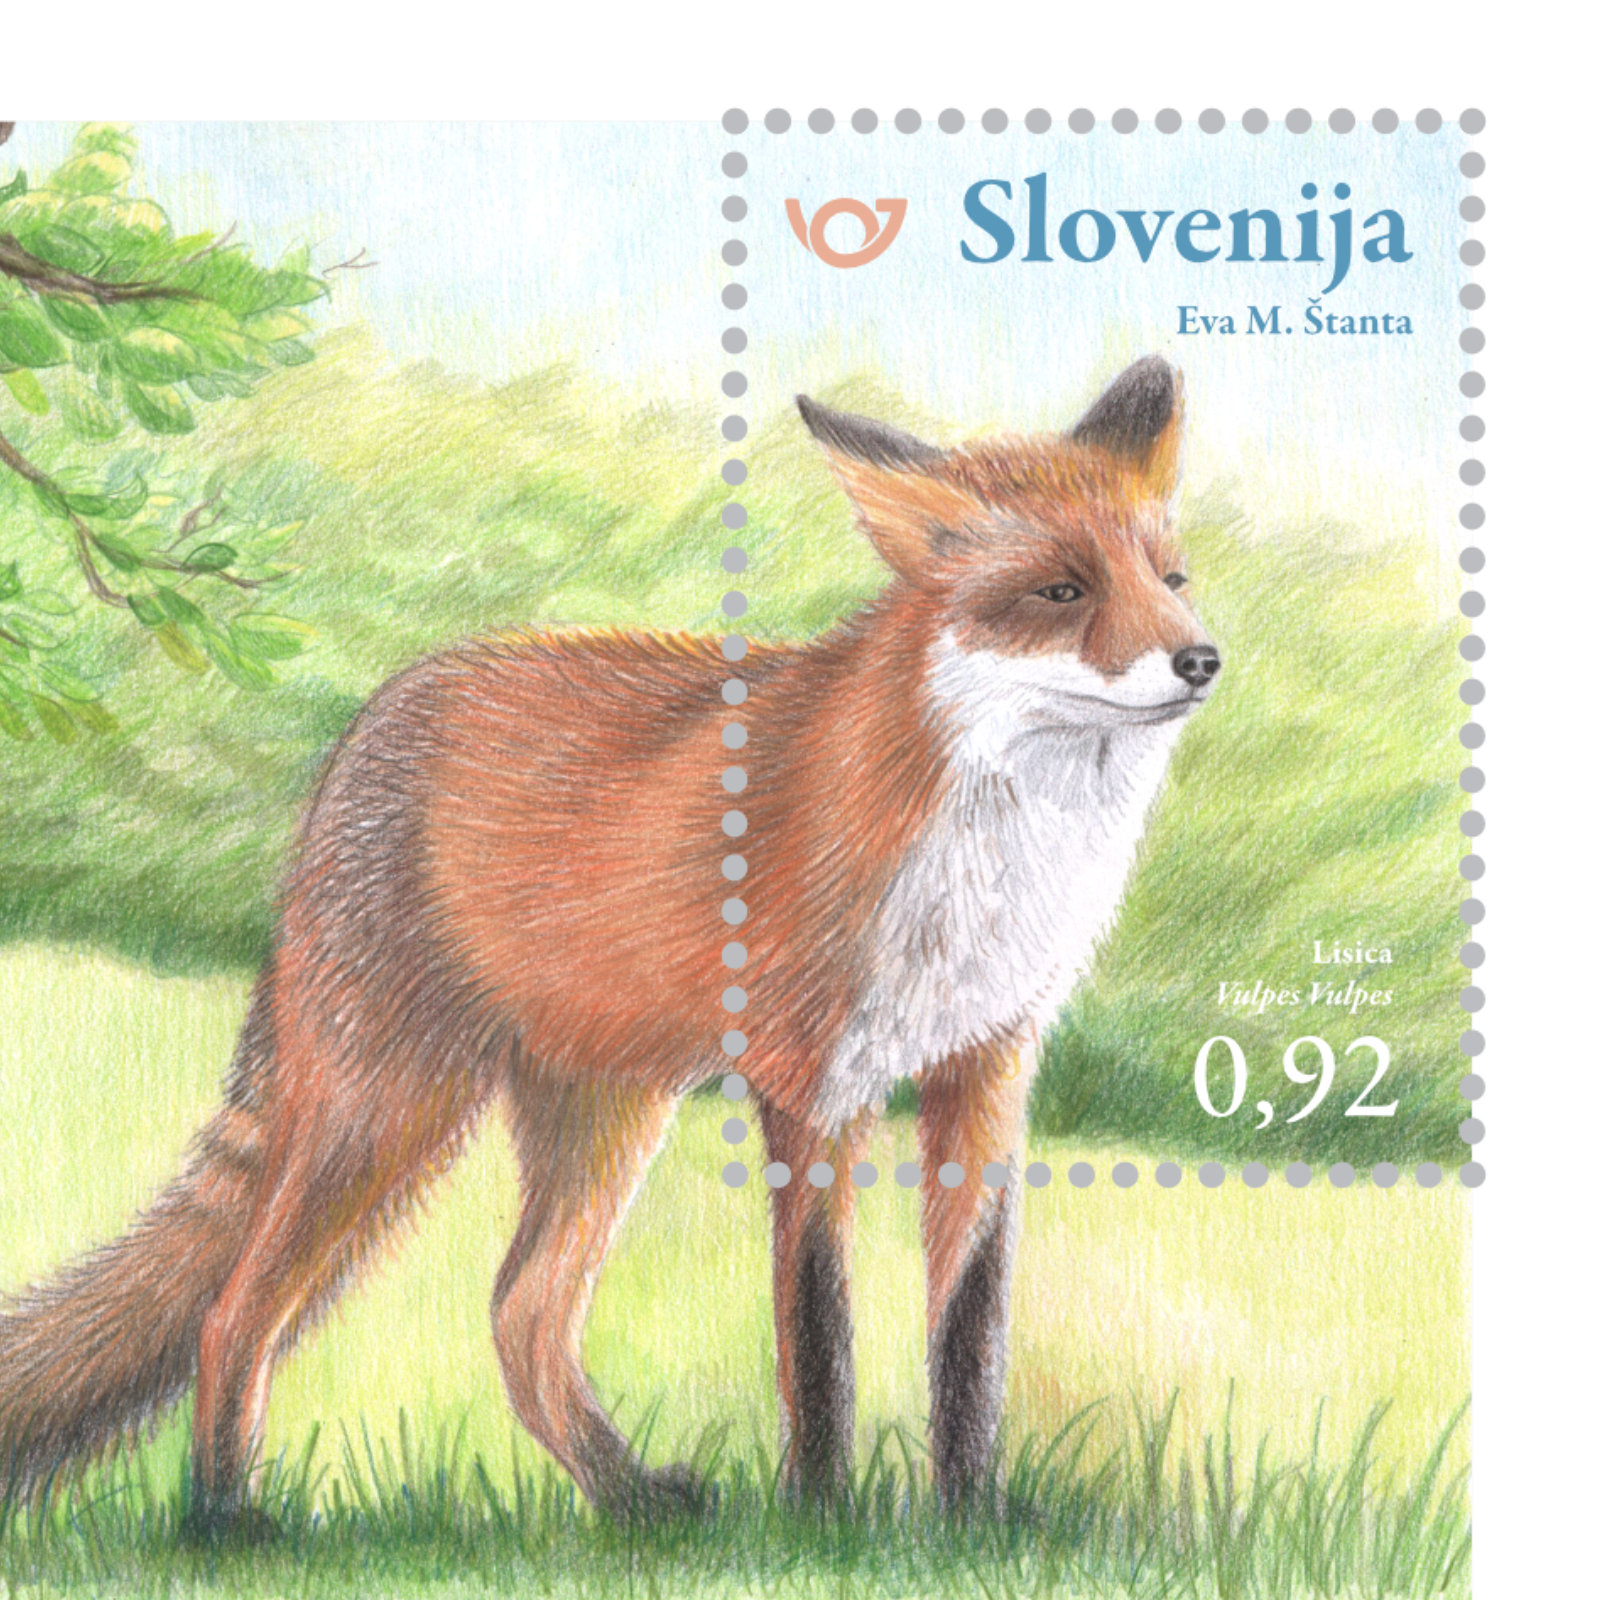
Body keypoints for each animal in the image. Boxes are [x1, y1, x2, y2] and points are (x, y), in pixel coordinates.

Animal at [0, 354, 1219, 1525]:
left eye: (1168, 581)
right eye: (1060, 591)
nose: (1200, 659)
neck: (992, 869)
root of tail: (374, 718)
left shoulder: (988, 1069)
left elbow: (969, 1332)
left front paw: (971, 1519)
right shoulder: (810, 1081)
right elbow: (818, 1333)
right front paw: (823, 1523)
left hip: (601, 1116)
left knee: (521, 1317)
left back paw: (629, 1500)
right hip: (387, 1102)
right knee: (236, 1314)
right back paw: (227, 1519)